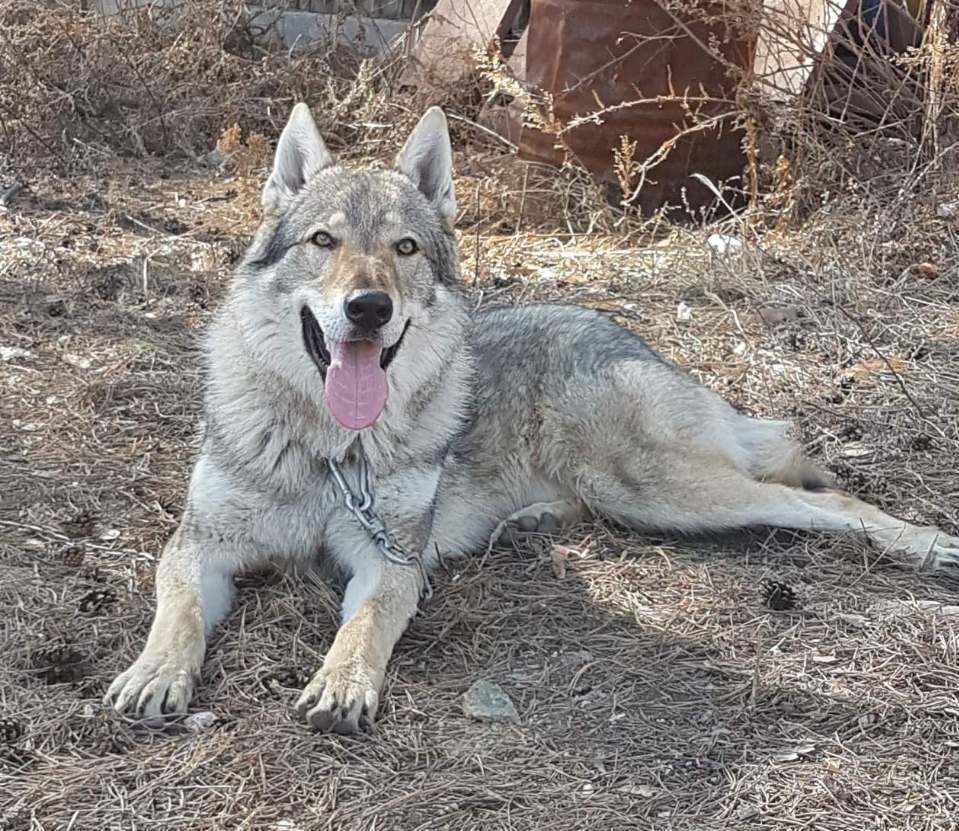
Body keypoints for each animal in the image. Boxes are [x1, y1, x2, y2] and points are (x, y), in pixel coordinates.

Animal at [105, 102, 959, 736]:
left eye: (405, 248)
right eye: (324, 241)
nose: (369, 307)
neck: (330, 450)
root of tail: (624, 332)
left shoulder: (389, 561)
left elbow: (364, 624)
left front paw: (343, 682)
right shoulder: (198, 545)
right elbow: (177, 613)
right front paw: (152, 673)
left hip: (657, 489)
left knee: (822, 498)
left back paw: (926, 545)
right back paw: (529, 521)